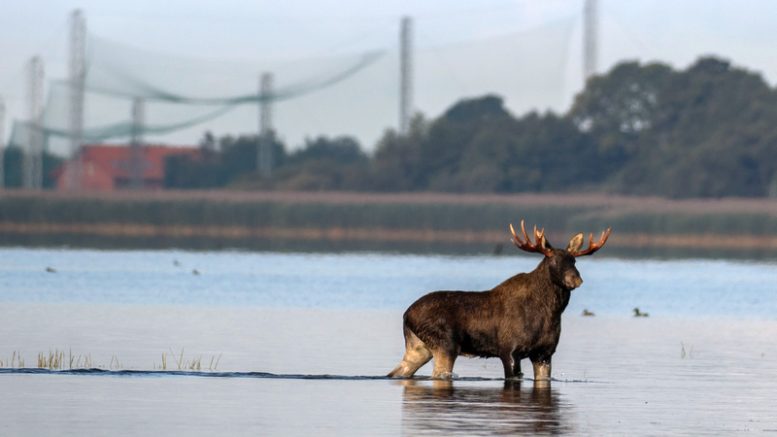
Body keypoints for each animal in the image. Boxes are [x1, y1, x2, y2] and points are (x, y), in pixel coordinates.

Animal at [388, 220, 612, 380]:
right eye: (554, 260)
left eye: (574, 261)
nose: (576, 279)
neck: (551, 313)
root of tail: (406, 314)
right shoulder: (509, 350)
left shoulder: (544, 354)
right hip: (445, 344)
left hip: (419, 347)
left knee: (397, 372)